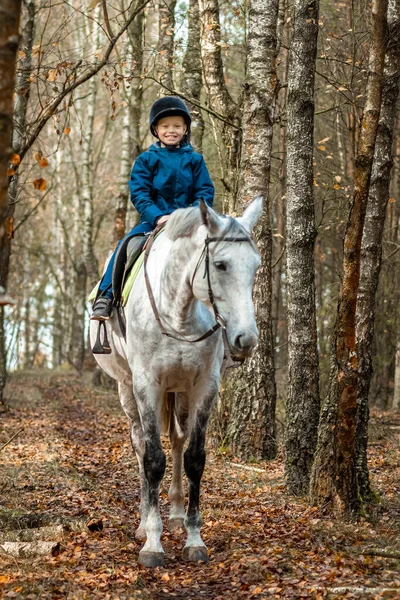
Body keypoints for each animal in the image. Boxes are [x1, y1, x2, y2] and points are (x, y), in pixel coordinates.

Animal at [92, 198, 264, 568]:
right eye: (220, 264)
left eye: (255, 266)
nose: (245, 339)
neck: (179, 314)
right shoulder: (147, 385)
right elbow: (152, 460)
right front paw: (152, 544)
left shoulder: (204, 387)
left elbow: (194, 459)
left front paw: (194, 539)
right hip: (128, 390)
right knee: (141, 444)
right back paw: (145, 522)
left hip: (179, 393)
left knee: (177, 440)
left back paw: (174, 514)